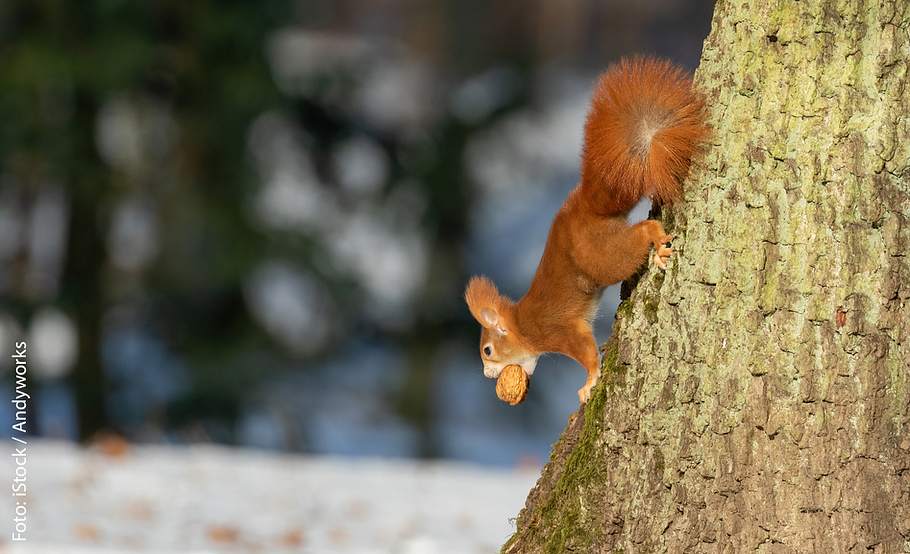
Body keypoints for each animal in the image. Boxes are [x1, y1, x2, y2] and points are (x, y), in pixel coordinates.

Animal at [464, 57, 709, 404]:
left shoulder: (559, 331)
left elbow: (586, 353)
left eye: (487, 350)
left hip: (601, 256)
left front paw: (589, 381)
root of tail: (585, 210)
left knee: (639, 235)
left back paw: (656, 240)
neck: (522, 326)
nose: (487, 375)